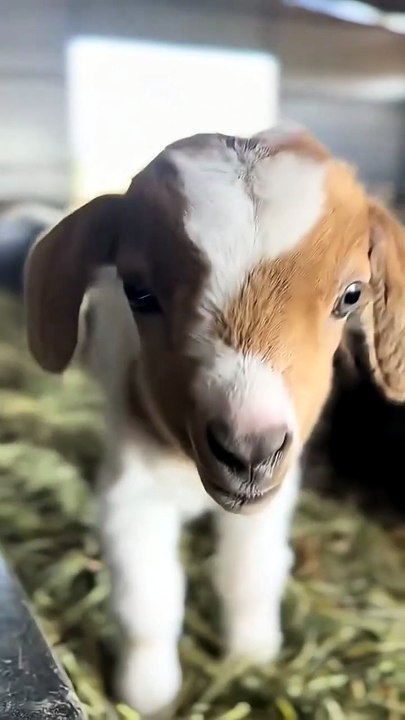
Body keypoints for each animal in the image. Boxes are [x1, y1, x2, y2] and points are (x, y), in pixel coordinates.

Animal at [23, 125, 405, 719]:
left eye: (351, 295)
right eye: (138, 292)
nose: (248, 450)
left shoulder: (274, 491)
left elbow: (251, 572)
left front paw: (252, 659)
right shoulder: (133, 489)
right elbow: (148, 596)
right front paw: (149, 696)